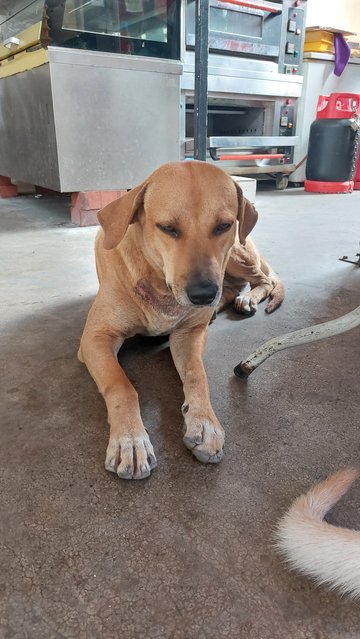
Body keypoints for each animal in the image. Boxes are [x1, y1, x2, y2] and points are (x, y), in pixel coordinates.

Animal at [79, 161, 284, 480]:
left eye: (223, 225)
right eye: (168, 228)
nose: (202, 295)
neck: (159, 283)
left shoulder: (188, 333)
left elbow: (196, 373)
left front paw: (205, 422)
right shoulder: (95, 338)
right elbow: (121, 384)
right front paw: (131, 440)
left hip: (236, 254)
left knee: (262, 280)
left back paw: (245, 298)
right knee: (236, 286)